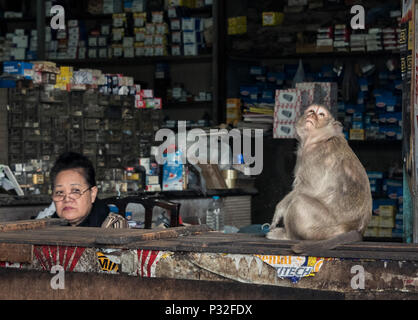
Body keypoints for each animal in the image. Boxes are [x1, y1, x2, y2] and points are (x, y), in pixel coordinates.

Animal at [266, 105, 370, 255]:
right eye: (311, 111)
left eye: (321, 114)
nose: (312, 115)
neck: (319, 140)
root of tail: (358, 230)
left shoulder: (315, 157)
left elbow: (308, 188)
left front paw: (280, 208)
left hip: (326, 227)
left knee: (299, 202)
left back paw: (288, 236)